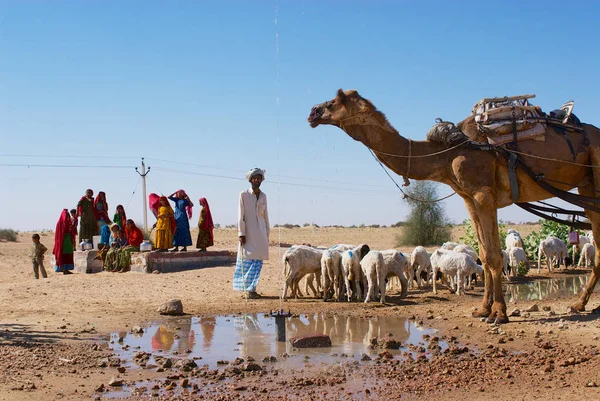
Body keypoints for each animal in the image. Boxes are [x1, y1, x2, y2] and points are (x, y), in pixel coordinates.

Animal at [308, 88, 600, 322]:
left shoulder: (483, 194)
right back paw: (579, 304)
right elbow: (484, 254)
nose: (312, 112)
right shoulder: (469, 198)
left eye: (333, 101)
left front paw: (499, 314)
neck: (448, 152)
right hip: (587, 187)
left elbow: (494, 256)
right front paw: (483, 309)